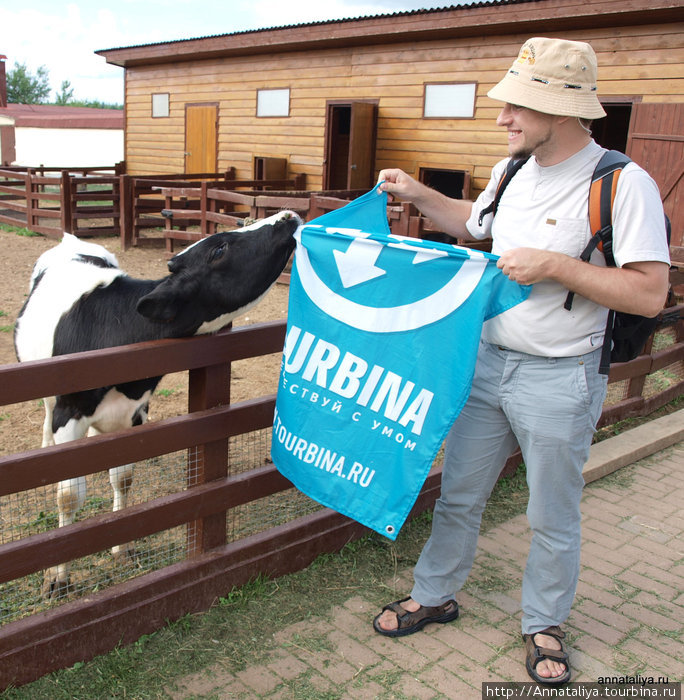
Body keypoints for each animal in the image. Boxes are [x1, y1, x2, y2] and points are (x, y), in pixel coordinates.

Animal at [14, 212, 300, 596]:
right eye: (219, 249)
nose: (287, 215)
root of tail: (70, 239)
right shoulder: (68, 411)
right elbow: (69, 495)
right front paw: (58, 577)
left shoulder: (133, 413)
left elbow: (122, 478)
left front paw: (121, 548)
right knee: (46, 418)